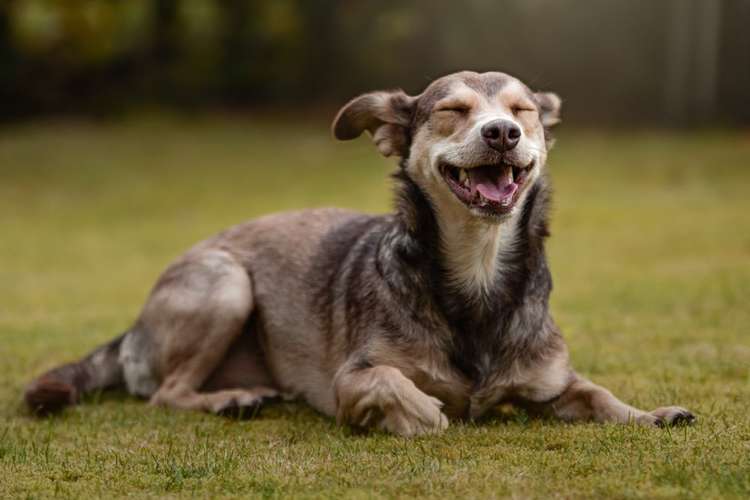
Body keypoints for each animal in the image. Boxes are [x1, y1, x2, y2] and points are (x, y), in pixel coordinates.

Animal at [26, 71, 696, 438]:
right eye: (452, 111)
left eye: (523, 111)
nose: (502, 133)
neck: (477, 273)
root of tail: (133, 328)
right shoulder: (351, 380)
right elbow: (399, 389)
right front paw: (424, 413)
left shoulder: (553, 382)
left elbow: (600, 395)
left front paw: (652, 414)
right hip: (225, 281)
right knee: (166, 393)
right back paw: (229, 400)